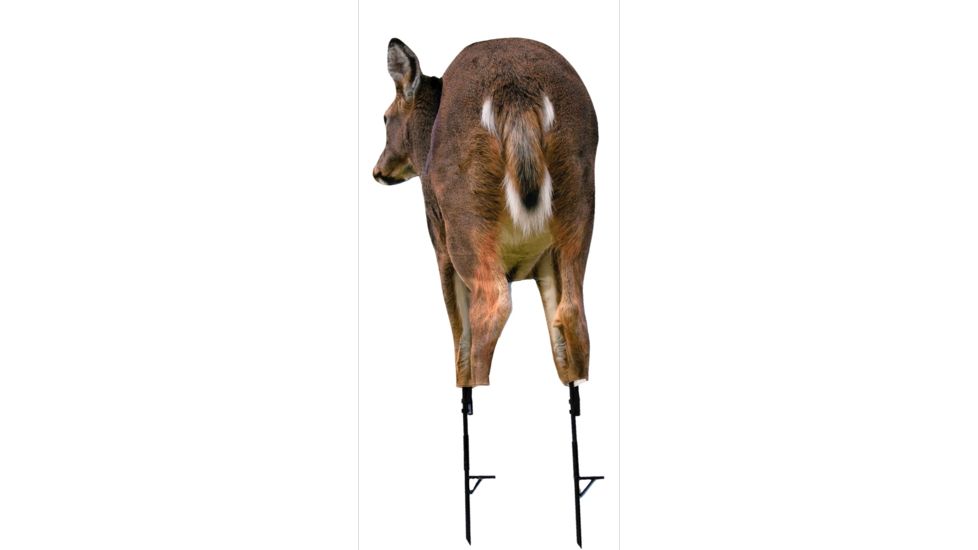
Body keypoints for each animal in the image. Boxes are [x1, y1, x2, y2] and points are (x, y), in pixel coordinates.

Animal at [371, 37, 601, 546]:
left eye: (384, 117)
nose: (378, 171)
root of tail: (517, 93)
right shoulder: (542, 263)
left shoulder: (438, 241)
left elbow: (457, 331)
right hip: (579, 211)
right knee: (574, 317)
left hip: (464, 218)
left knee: (491, 308)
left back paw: (475, 393)